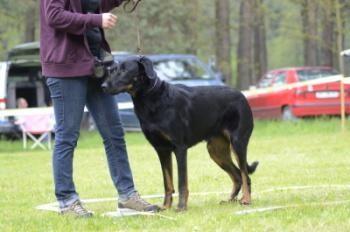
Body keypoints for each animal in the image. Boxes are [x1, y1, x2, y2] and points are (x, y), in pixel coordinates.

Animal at [101, 55, 258, 210]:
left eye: (124, 70)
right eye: (112, 70)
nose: (103, 86)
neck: (151, 99)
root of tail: (242, 95)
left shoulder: (180, 148)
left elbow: (181, 182)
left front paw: (181, 207)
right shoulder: (162, 150)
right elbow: (167, 183)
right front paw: (165, 207)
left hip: (237, 142)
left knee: (245, 175)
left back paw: (246, 200)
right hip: (215, 150)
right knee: (237, 175)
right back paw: (230, 200)